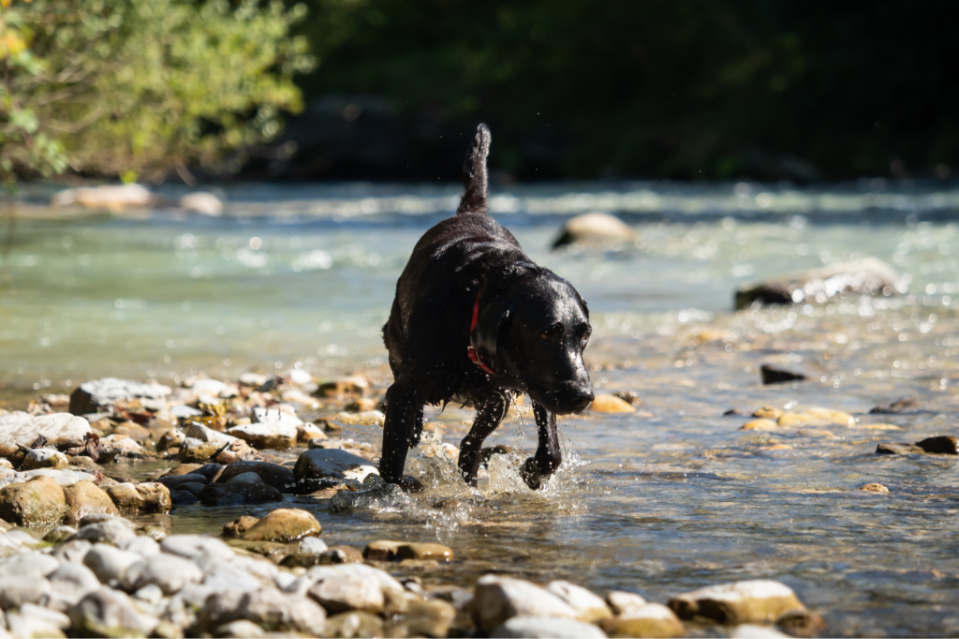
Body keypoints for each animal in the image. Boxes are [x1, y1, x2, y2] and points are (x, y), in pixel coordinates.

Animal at [380, 126, 592, 496]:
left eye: (585, 334)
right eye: (546, 333)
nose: (584, 396)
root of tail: (470, 210)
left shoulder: (519, 388)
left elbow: (548, 450)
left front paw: (531, 472)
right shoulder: (406, 389)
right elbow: (393, 456)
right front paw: (399, 489)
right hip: (396, 341)